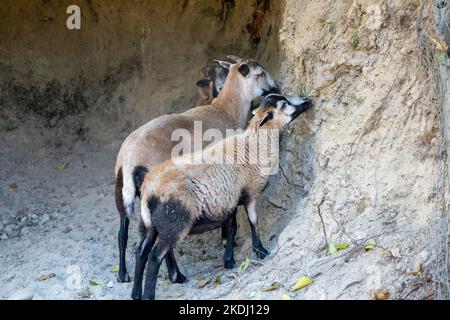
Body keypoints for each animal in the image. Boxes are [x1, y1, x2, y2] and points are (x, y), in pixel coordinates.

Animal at [114, 57, 280, 282]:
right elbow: (230, 219)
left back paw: (123, 274)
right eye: (260, 73)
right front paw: (228, 245)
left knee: (122, 234)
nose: (276, 85)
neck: (225, 110)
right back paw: (177, 275)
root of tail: (130, 160)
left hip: (122, 192)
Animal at [132, 93, 312, 300]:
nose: (307, 101)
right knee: (154, 258)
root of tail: (148, 190)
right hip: (174, 222)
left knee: (140, 253)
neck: (254, 144)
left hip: (150, 225)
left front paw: (229, 260)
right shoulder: (249, 193)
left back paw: (136, 293)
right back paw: (150, 294)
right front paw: (260, 251)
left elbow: (231, 229)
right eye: (284, 104)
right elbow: (253, 222)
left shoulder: (229, 200)